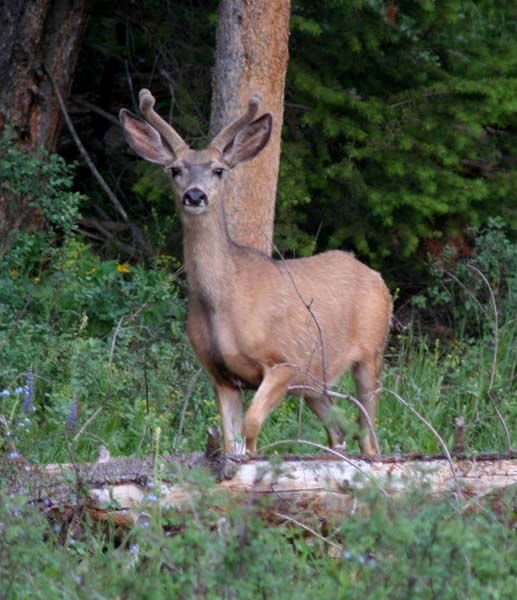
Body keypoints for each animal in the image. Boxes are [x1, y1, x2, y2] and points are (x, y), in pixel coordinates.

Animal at [119, 88, 390, 454]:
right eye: (175, 169)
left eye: (219, 170)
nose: (195, 195)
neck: (222, 304)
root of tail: (377, 277)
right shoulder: (219, 374)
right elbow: (229, 440)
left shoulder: (283, 362)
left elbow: (251, 426)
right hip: (313, 381)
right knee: (338, 432)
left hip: (371, 351)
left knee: (369, 436)